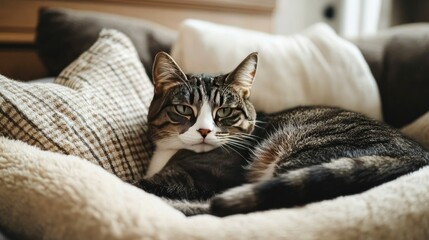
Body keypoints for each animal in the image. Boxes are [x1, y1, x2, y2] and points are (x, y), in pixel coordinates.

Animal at [138, 51, 428, 217]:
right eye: (184, 109)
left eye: (225, 111)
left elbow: (146, 186)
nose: (204, 130)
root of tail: (417, 156)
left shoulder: (205, 178)